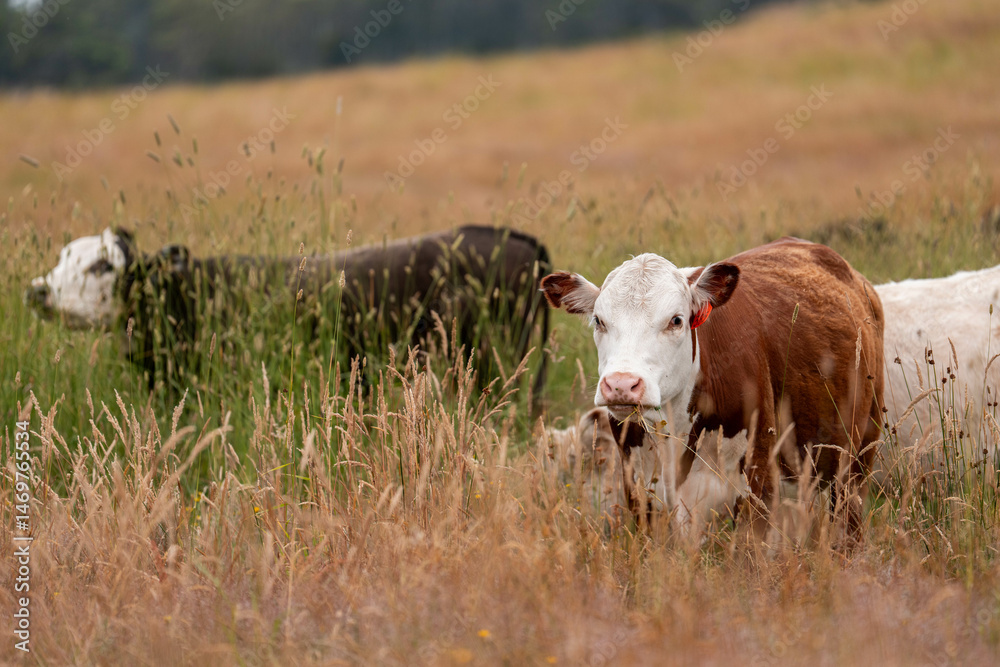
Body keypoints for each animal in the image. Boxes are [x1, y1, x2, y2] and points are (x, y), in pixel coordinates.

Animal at [541, 238, 885, 541]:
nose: (622, 384)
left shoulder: (757, 487)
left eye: (676, 320)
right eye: (599, 321)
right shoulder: (641, 492)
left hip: (857, 459)